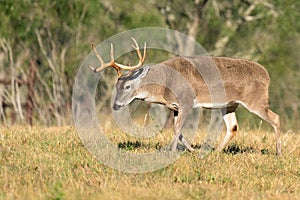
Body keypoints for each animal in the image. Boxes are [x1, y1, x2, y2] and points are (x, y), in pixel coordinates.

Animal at [88, 38, 282, 155]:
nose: (116, 105)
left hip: (255, 100)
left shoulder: (186, 100)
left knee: (275, 118)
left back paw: (278, 152)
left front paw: (172, 152)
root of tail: (267, 76)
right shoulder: (174, 107)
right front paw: (191, 150)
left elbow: (177, 129)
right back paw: (215, 151)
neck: (164, 84)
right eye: (116, 86)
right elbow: (177, 130)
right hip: (229, 105)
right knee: (233, 127)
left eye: (128, 86)